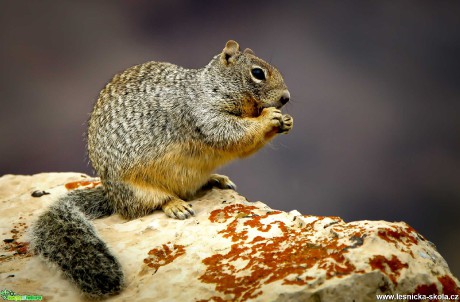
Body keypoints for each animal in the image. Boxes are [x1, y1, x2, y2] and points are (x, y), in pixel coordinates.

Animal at [30, 40, 292, 298]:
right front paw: (269, 117)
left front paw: (286, 121)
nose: (286, 98)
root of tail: (112, 198)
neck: (211, 87)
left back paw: (216, 179)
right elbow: (232, 134)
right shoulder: (206, 116)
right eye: (257, 73)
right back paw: (176, 205)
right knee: (150, 204)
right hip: (136, 190)